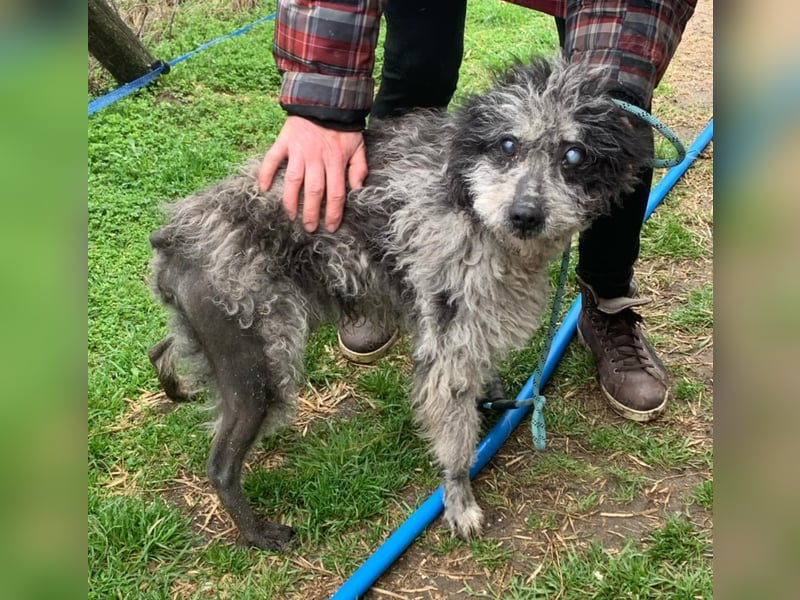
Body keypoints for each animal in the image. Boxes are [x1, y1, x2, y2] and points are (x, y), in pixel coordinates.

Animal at [147, 56, 651, 550]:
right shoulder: (448, 347)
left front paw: (493, 399)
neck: (466, 199)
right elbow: (453, 434)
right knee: (220, 465)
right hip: (258, 367)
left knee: (161, 349)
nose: (525, 215)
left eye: (574, 156)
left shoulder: (473, 324)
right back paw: (257, 533)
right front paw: (459, 499)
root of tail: (176, 237)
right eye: (507, 144)